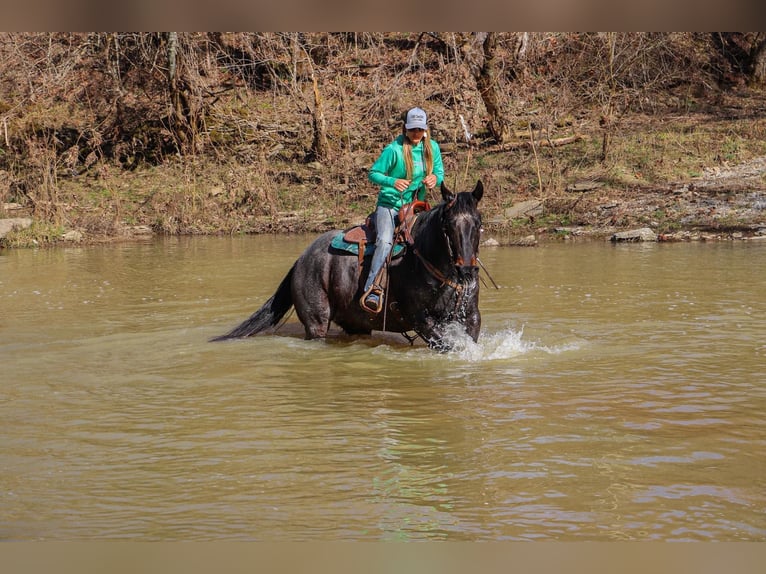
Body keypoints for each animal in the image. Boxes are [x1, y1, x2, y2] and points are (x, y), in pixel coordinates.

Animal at [210, 181, 486, 352]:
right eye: (448, 225)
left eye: (478, 222)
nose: (467, 271)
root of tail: (301, 259)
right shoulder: (421, 319)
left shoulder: (471, 316)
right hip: (316, 322)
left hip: (356, 322)